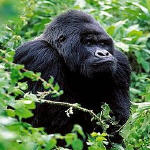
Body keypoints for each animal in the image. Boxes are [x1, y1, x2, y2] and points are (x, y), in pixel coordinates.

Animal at [14, 9, 131, 145]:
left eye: (102, 43)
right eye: (89, 43)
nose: (103, 53)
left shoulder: (120, 63)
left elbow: (117, 124)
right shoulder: (40, 56)